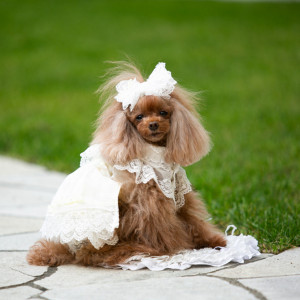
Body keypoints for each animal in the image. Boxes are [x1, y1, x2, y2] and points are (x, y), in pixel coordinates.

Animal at [27, 61, 226, 268]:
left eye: (163, 113)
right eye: (139, 117)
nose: (153, 124)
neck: (156, 155)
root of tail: (66, 246)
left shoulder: (178, 192)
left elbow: (193, 220)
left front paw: (213, 240)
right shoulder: (149, 202)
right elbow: (165, 230)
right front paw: (175, 249)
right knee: (91, 254)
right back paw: (131, 250)